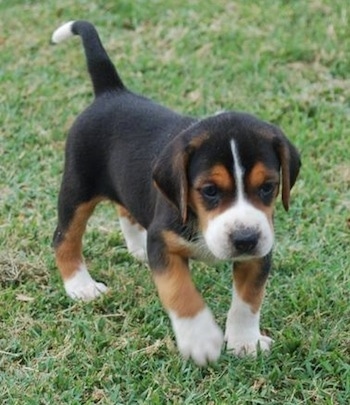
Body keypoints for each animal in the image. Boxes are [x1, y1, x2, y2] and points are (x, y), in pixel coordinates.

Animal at [51, 20, 300, 364]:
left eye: (268, 187)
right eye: (209, 190)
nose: (245, 239)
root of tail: (111, 91)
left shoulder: (259, 252)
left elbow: (249, 300)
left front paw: (244, 341)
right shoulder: (163, 243)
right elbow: (179, 290)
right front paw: (200, 339)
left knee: (125, 209)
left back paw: (136, 247)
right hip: (77, 189)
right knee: (64, 238)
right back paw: (80, 286)